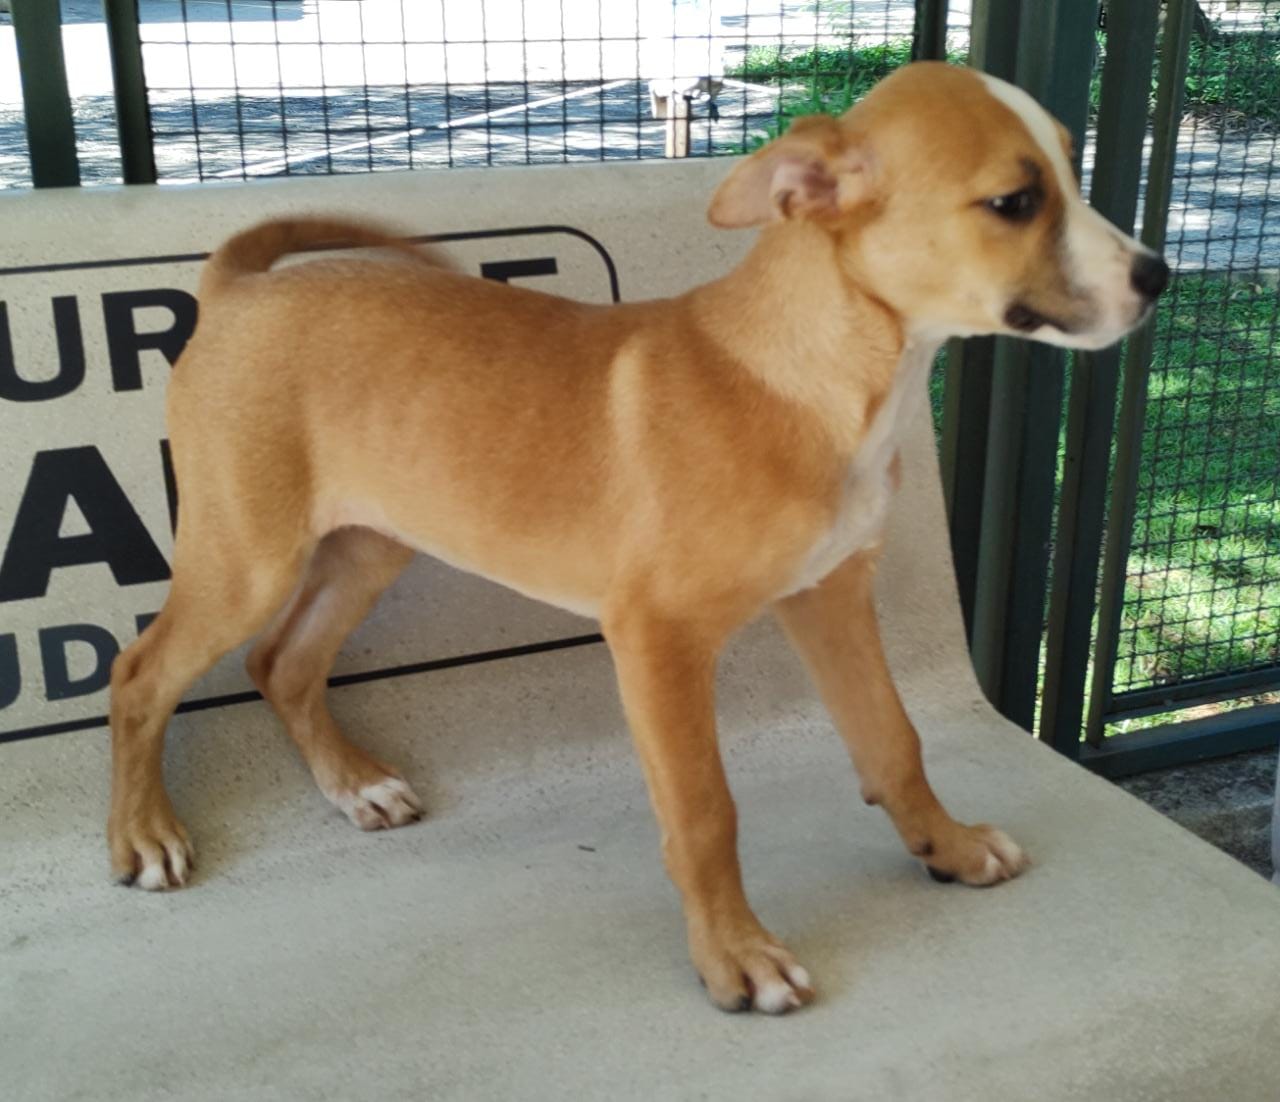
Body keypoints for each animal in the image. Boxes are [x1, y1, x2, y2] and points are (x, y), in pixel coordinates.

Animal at [110, 62, 1172, 1013]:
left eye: (1071, 170)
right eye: (1014, 201)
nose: (1160, 275)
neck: (815, 378)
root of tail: (240, 288)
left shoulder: (831, 598)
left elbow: (893, 740)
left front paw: (946, 847)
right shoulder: (659, 640)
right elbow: (705, 811)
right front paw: (736, 957)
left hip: (369, 546)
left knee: (282, 661)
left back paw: (355, 788)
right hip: (248, 558)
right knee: (144, 673)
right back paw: (145, 834)